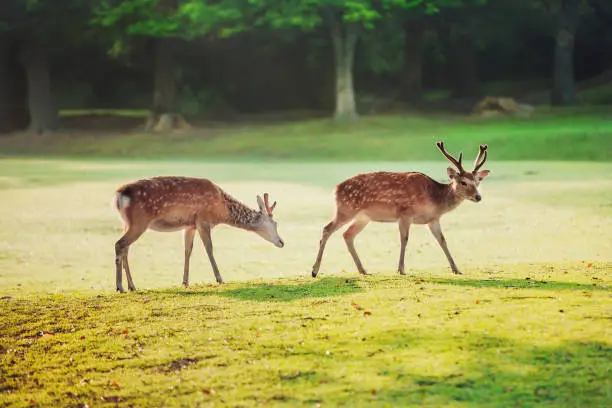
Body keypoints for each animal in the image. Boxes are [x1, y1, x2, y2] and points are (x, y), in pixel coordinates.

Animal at [113, 177, 284, 292]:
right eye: (275, 223)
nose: (282, 242)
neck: (222, 210)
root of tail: (118, 196)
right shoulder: (203, 219)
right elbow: (209, 248)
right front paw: (220, 278)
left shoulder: (190, 225)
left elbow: (187, 250)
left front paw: (185, 282)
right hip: (139, 222)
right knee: (119, 244)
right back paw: (120, 287)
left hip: (127, 223)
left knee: (125, 249)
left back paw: (132, 286)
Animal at [314, 141, 490, 278]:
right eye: (463, 182)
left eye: (477, 181)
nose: (478, 197)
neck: (433, 199)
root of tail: (335, 189)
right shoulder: (405, 213)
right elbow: (404, 239)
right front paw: (401, 269)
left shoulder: (433, 220)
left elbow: (442, 240)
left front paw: (456, 269)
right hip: (346, 209)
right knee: (327, 229)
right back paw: (315, 270)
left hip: (363, 217)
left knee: (347, 235)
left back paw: (363, 270)